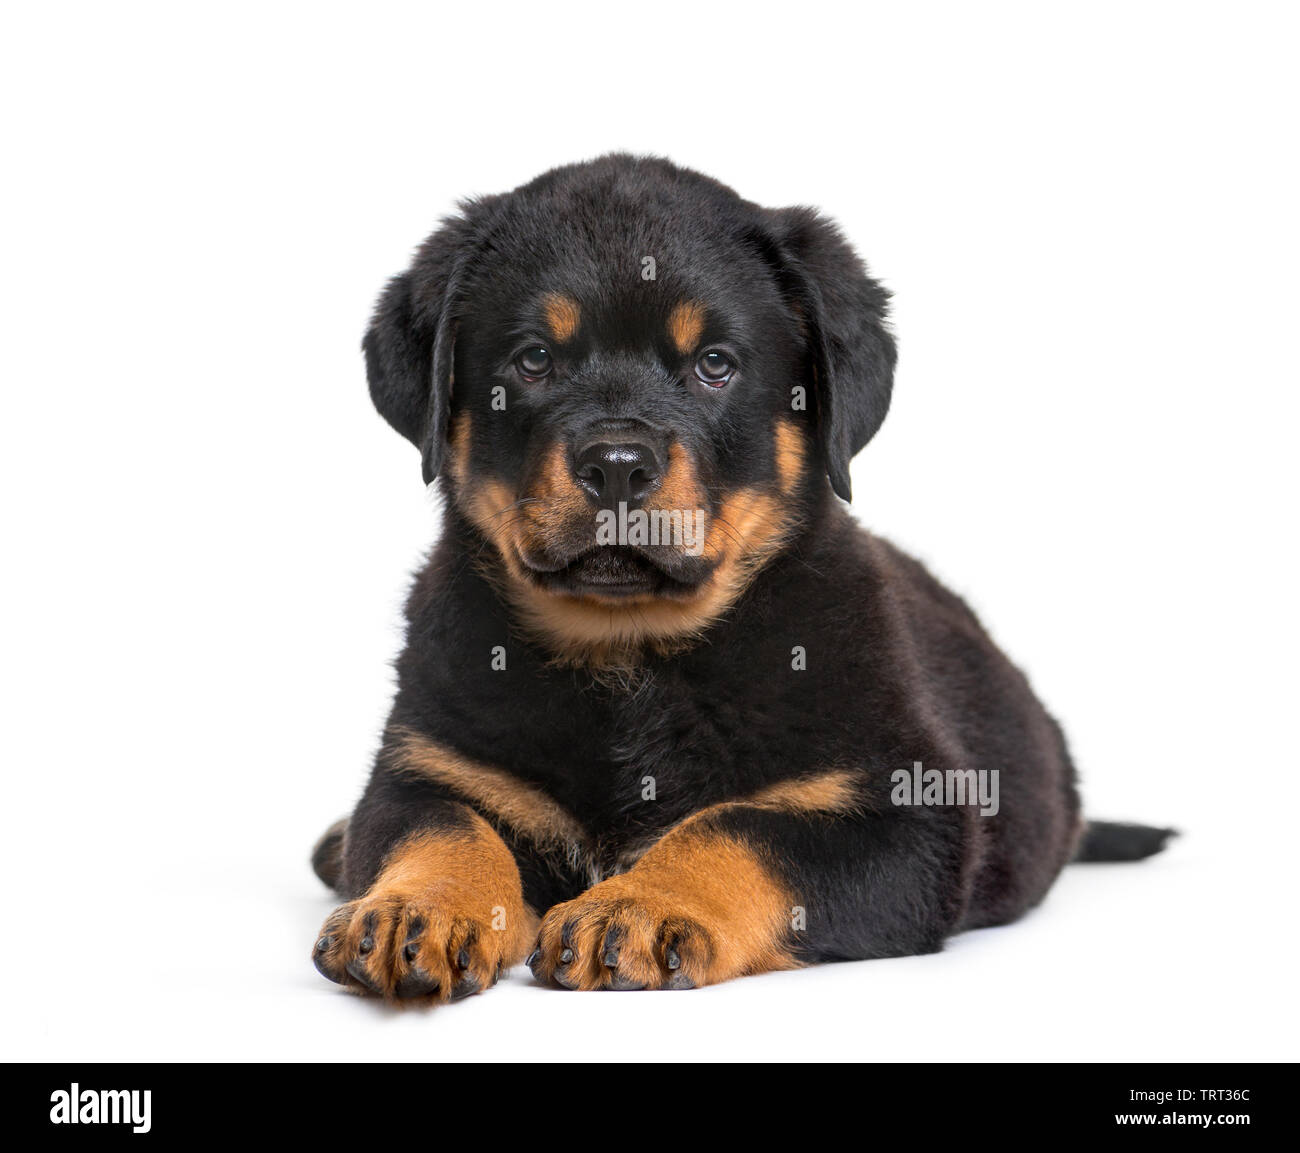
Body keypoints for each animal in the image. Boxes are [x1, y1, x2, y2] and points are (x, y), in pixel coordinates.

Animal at [309, 153, 1175, 1003]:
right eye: (533, 361)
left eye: (714, 365)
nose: (617, 465)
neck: (629, 659)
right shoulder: (426, 765)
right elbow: (444, 828)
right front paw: (414, 909)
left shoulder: (906, 812)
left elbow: (744, 828)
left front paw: (639, 903)